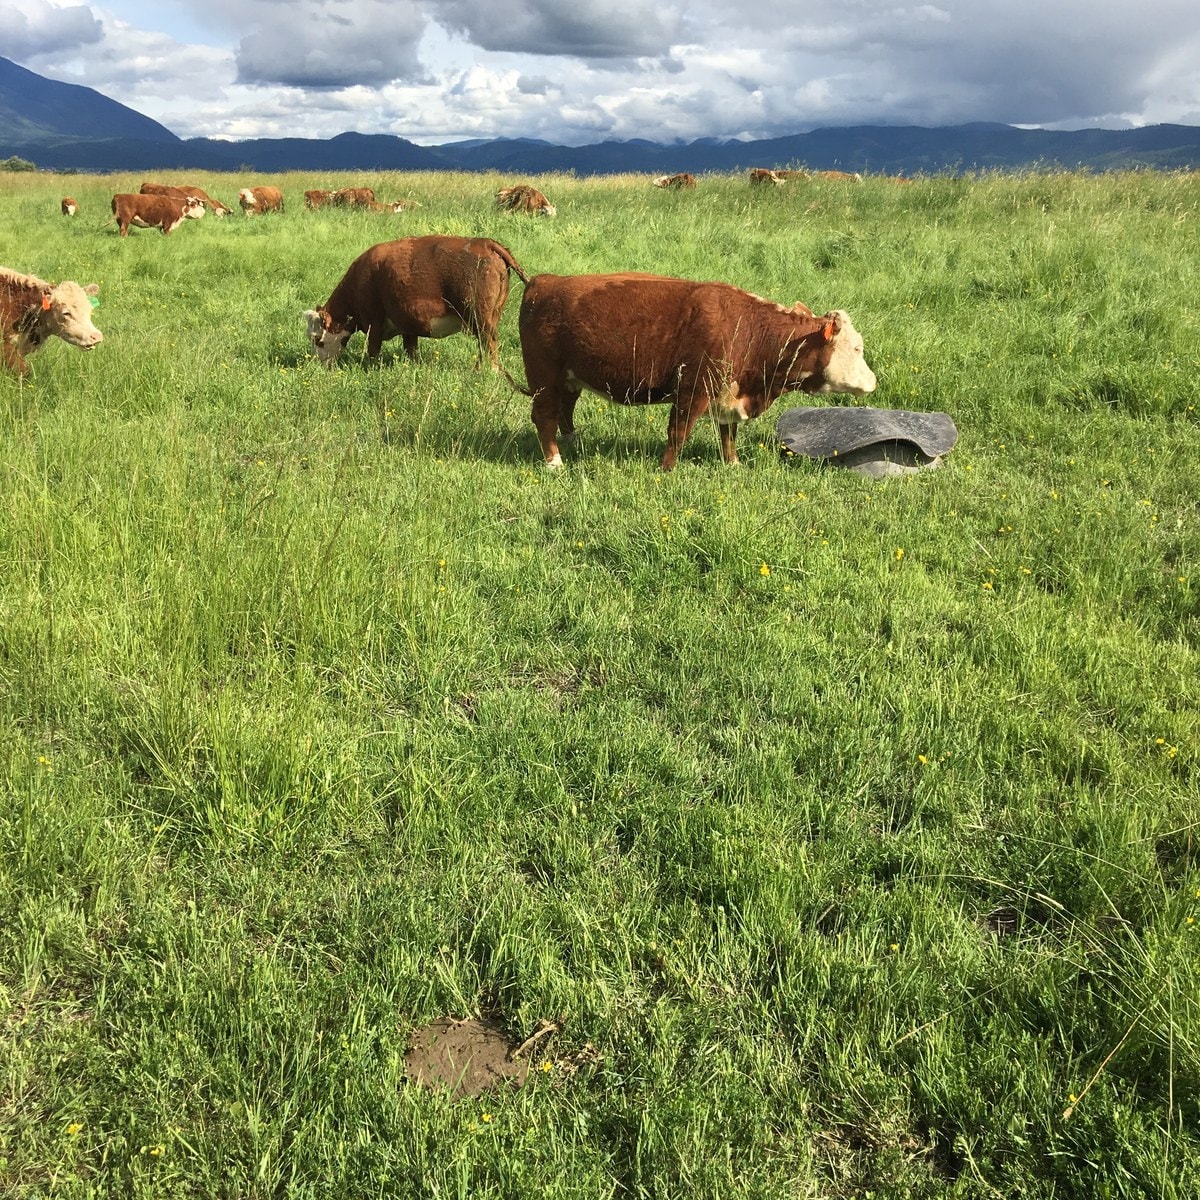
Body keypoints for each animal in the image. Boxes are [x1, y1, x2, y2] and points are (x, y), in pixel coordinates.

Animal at [303, 235, 530, 372]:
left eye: (317, 339)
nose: (317, 364)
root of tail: (484, 242)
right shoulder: (408, 324)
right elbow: (410, 349)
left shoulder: (373, 323)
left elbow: (373, 349)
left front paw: (371, 368)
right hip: (491, 315)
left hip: (480, 318)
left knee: (488, 343)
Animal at [515, 273, 876, 471]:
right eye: (858, 348)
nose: (873, 382)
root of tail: (543, 281)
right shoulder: (692, 388)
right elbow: (679, 431)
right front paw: (667, 469)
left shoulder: (729, 393)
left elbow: (728, 433)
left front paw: (732, 464)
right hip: (544, 377)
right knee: (544, 415)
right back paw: (554, 461)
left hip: (569, 378)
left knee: (565, 409)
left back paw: (571, 442)